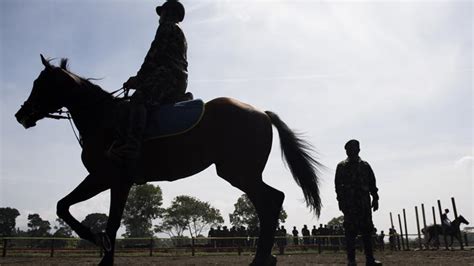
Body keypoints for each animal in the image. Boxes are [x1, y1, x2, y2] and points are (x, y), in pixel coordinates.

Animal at [14, 55, 322, 264]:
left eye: (40, 84)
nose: (21, 115)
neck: (103, 119)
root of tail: (261, 112)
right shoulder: (112, 181)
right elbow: (83, 213)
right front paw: (101, 247)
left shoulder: (108, 178)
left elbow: (90, 216)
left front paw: (97, 242)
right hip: (241, 174)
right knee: (269, 202)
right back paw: (265, 257)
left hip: (238, 172)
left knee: (271, 201)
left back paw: (261, 258)